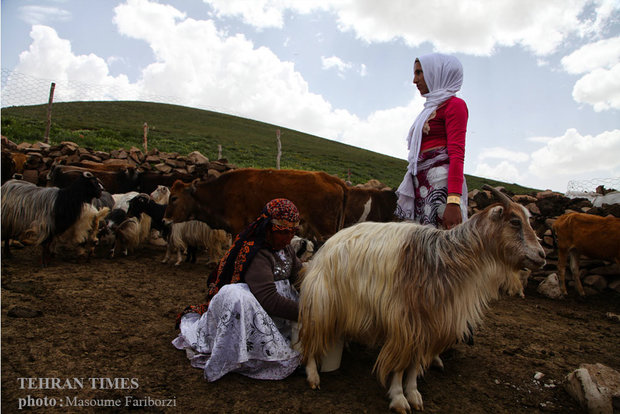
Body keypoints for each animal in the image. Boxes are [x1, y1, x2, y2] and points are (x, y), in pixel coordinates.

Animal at [163, 167, 348, 241]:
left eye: (174, 198)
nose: (164, 220)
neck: (221, 191)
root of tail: (328, 177)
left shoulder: (238, 228)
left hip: (324, 229)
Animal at [298, 185, 544, 414]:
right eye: (515, 221)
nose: (541, 255)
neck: (447, 259)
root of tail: (329, 243)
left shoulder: (429, 325)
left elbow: (415, 364)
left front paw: (414, 394)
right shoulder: (405, 323)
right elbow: (400, 364)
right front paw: (399, 398)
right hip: (322, 302)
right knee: (311, 338)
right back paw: (313, 377)